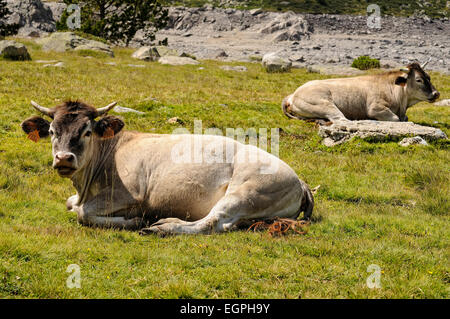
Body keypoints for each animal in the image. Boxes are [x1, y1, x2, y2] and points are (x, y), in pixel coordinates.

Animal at [20, 101, 312, 236]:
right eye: (52, 131)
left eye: (87, 131)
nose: (64, 158)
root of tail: (300, 181)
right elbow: (71, 204)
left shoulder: (130, 195)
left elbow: (82, 213)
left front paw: (135, 221)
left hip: (246, 192)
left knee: (213, 222)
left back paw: (159, 227)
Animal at [284, 61, 442, 122]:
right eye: (419, 80)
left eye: (428, 77)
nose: (436, 94)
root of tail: (292, 95)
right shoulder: (375, 108)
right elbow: (396, 119)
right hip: (324, 104)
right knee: (341, 119)